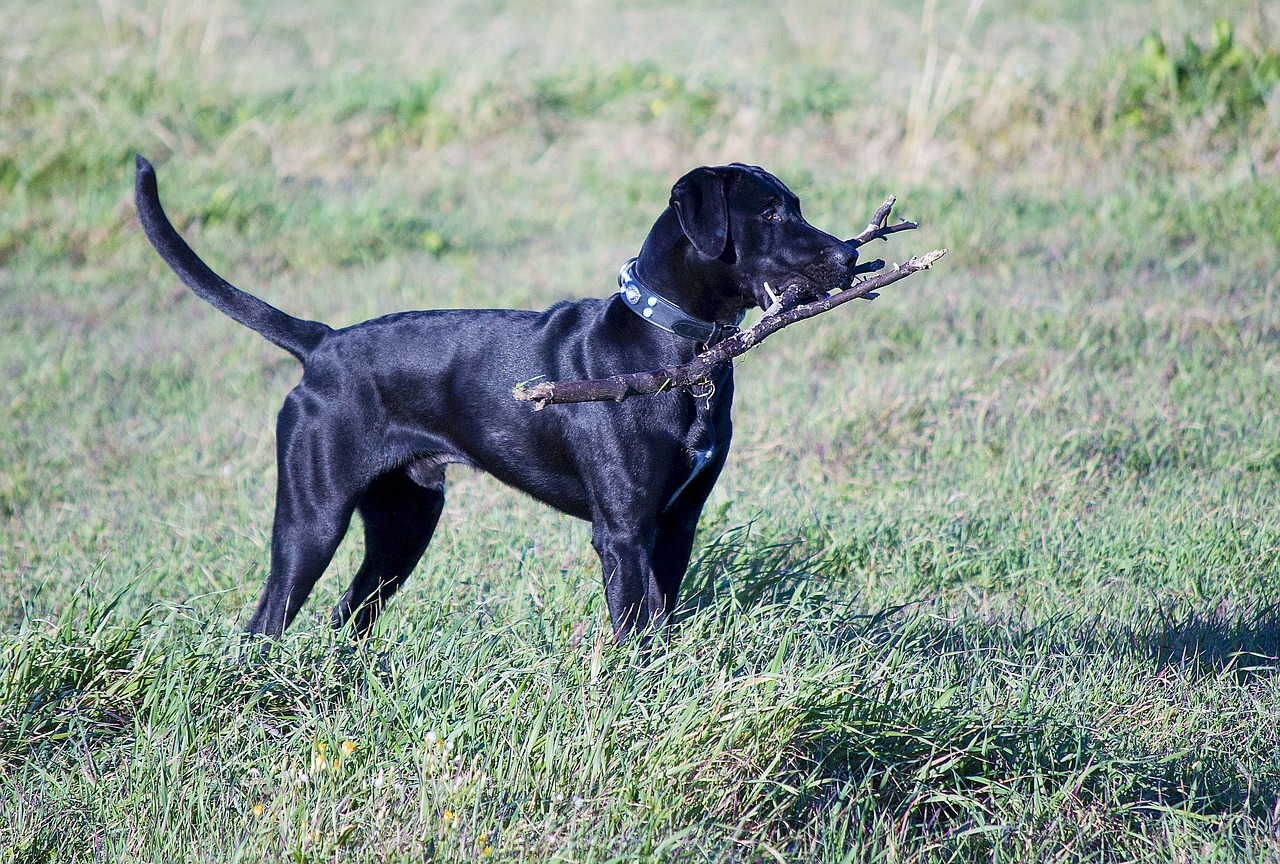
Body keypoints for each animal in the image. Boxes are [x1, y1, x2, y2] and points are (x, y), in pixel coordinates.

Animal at [135, 157, 865, 642]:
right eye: (768, 213)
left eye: (796, 205)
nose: (849, 255)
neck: (679, 348)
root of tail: (322, 345)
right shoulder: (624, 531)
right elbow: (635, 633)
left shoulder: (678, 523)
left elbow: (663, 625)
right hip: (312, 519)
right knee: (267, 621)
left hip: (404, 524)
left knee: (350, 616)